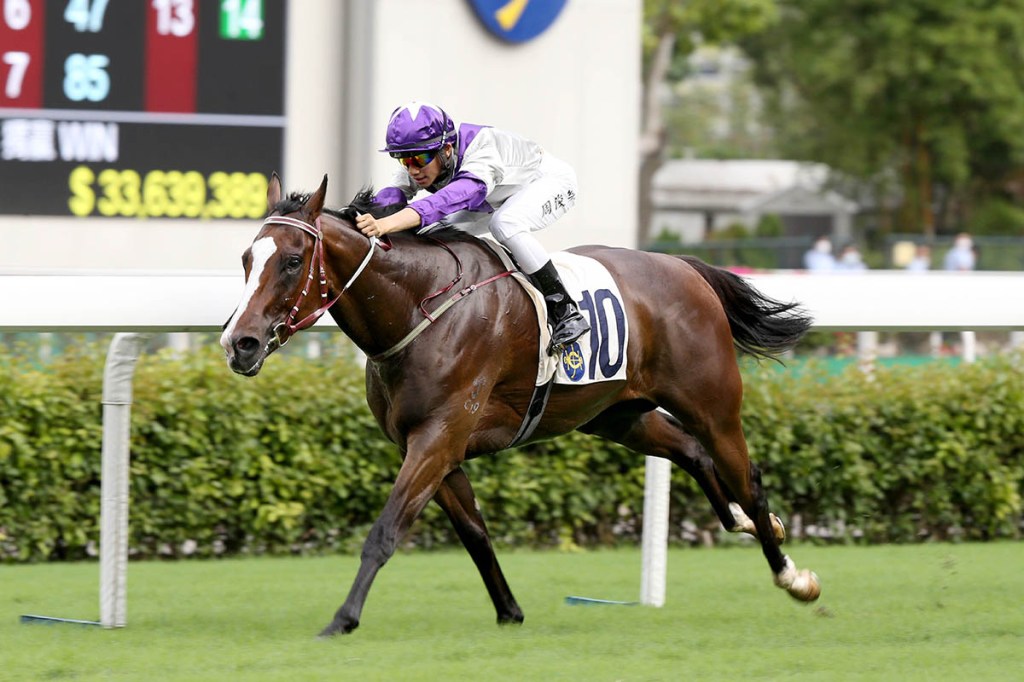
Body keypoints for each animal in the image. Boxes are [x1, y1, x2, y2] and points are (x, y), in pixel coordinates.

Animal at [220, 173, 821, 637]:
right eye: (247, 257)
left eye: (292, 261)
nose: (239, 343)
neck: (419, 307)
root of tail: (685, 268)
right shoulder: (433, 446)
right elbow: (474, 533)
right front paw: (509, 611)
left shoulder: (437, 438)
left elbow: (386, 531)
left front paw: (342, 619)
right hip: (618, 415)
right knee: (693, 453)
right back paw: (751, 523)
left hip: (711, 404)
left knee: (747, 475)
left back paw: (792, 574)